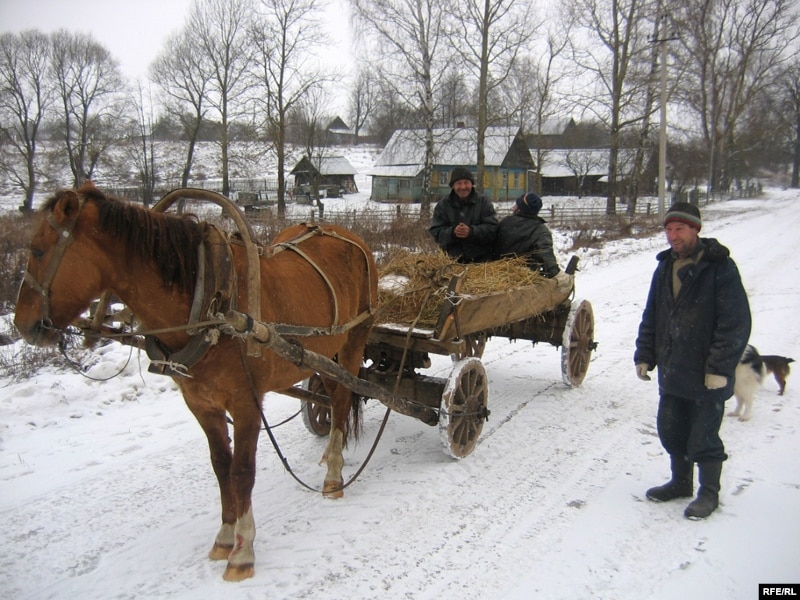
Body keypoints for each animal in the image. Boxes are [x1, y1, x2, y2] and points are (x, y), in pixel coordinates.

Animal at [13, 181, 378, 581]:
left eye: (38, 249)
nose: (22, 325)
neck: (210, 305)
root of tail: (348, 235)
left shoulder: (246, 404)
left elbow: (242, 471)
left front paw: (243, 552)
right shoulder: (201, 403)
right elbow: (221, 466)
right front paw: (225, 537)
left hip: (352, 344)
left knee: (342, 400)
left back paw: (333, 476)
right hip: (322, 355)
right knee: (330, 396)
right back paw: (329, 452)